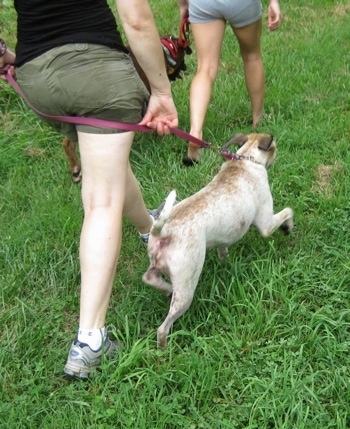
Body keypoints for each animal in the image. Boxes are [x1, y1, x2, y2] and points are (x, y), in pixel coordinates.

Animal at [141, 131, 294, 348]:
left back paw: (167, 288)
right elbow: (288, 211)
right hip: (187, 285)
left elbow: (223, 251)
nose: (277, 156)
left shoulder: (224, 240)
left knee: (149, 278)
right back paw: (163, 349)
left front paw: (226, 264)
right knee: (164, 327)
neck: (246, 158)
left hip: (157, 264)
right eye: (275, 148)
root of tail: (164, 232)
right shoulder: (265, 224)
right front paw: (287, 227)